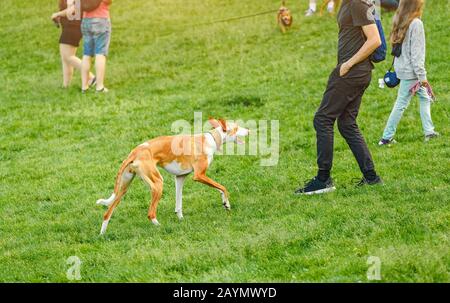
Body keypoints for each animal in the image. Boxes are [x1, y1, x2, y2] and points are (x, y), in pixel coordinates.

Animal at [96, 118, 250, 235]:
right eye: (236, 127)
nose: (249, 130)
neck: (211, 139)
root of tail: (135, 152)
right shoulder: (199, 175)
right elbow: (222, 187)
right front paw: (226, 204)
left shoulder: (180, 178)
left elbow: (179, 203)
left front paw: (181, 219)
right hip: (157, 184)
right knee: (151, 213)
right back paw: (160, 227)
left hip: (123, 188)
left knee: (107, 213)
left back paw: (102, 234)